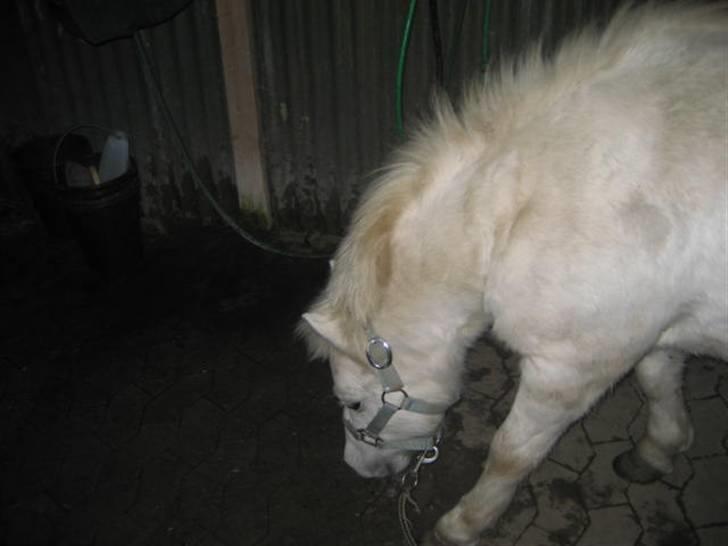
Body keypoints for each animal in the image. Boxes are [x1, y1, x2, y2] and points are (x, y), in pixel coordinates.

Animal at [299, 4, 728, 545]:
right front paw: (659, 450)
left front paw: (462, 524)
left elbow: (510, 453)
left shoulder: (568, 370)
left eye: (353, 403)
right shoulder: (649, 332)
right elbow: (658, 381)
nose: (357, 467)